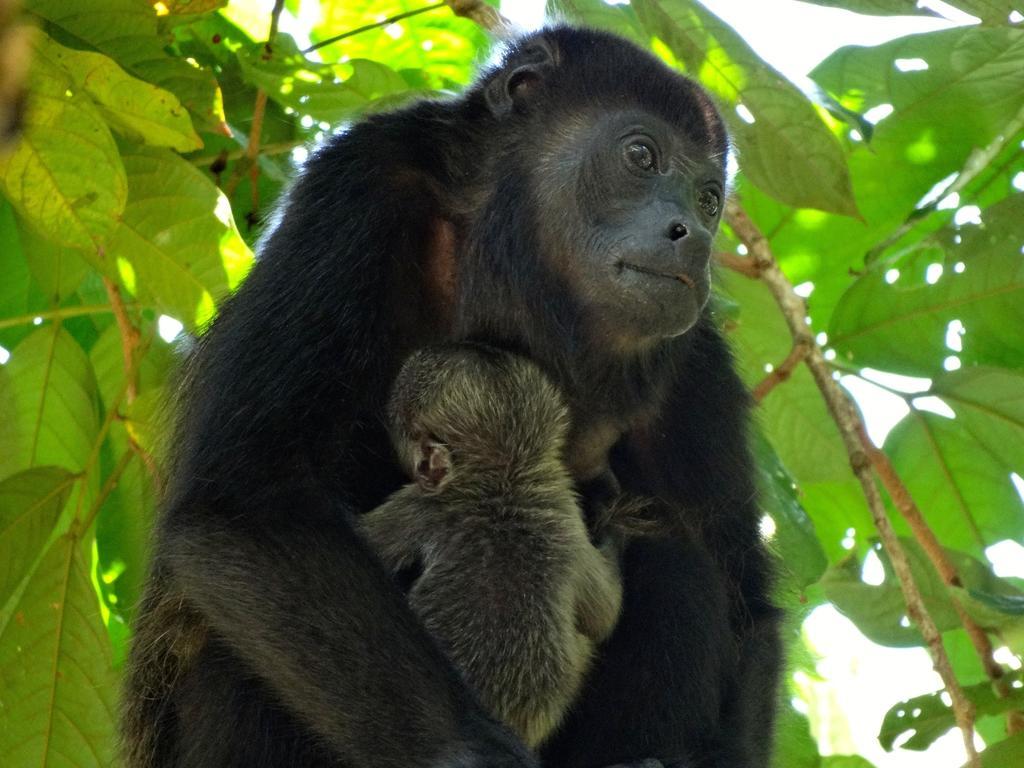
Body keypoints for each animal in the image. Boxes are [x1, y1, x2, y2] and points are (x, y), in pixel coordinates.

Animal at [121, 22, 774, 768]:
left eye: (710, 200)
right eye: (641, 155)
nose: (693, 237)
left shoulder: (693, 350)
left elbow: (745, 605)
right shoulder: (365, 181)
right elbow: (247, 498)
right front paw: (472, 751)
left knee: (684, 561)